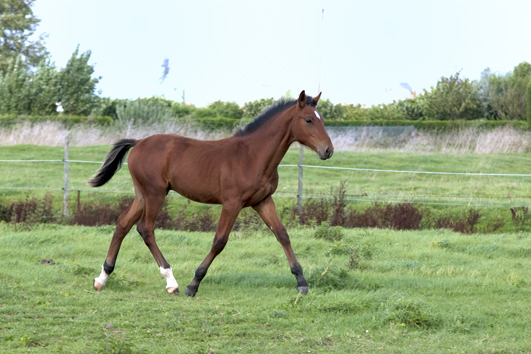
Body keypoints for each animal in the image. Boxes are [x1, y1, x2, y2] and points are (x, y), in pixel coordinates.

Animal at [89, 90, 334, 296]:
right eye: (309, 120)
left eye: (322, 119)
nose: (328, 150)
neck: (253, 156)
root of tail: (138, 142)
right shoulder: (232, 203)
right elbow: (219, 241)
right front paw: (193, 284)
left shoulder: (263, 201)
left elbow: (282, 234)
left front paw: (301, 282)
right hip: (155, 194)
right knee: (145, 229)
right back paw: (171, 282)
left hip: (143, 194)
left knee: (123, 223)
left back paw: (102, 278)